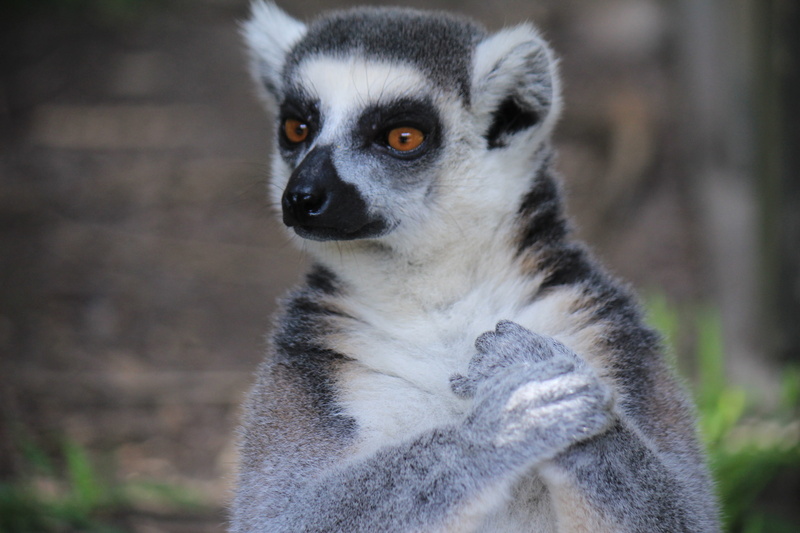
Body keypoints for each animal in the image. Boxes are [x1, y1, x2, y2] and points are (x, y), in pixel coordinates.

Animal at [232, 2, 720, 531]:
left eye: (403, 137)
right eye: (296, 128)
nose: (302, 196)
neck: (438, 290)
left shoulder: (609, 332)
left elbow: (689, 513)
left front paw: (532, 372)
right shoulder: (308, 362)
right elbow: (279, 517)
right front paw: (507, 420)